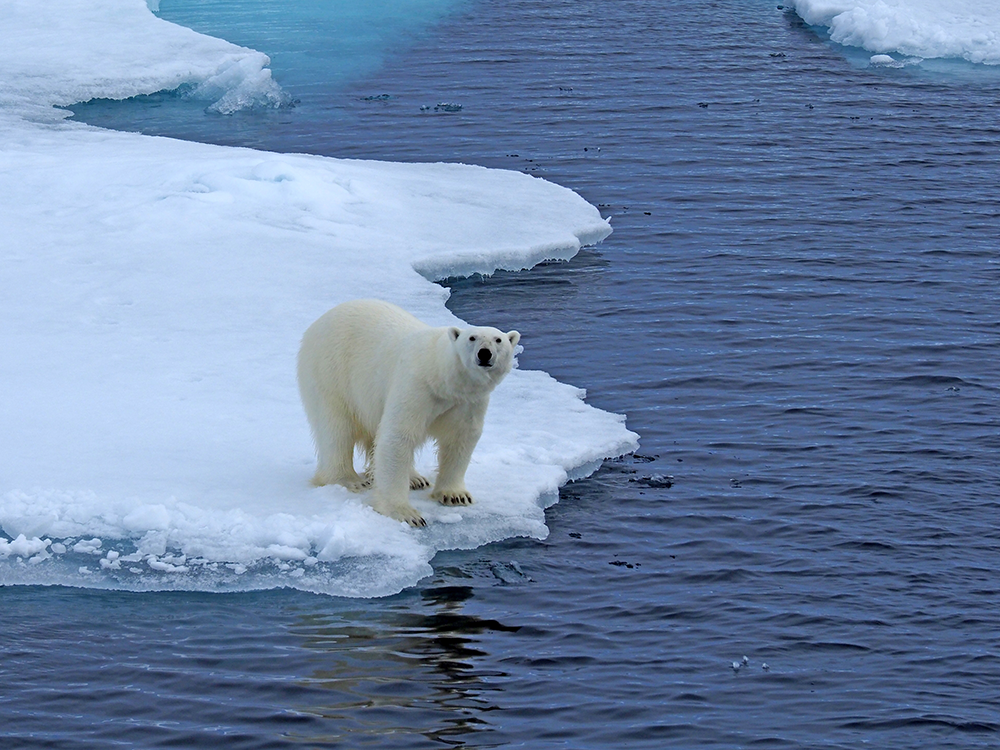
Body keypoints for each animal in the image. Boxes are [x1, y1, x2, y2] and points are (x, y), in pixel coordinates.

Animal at [297, 299, 520, 527]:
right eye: (472, 337)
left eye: (498, 340)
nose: (484, 353)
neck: (442, 378)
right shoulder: (416, 386)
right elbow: (398, 436)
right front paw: (405, 513)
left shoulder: (468, 402)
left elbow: (462, 438)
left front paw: (455, 495)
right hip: (331, 371)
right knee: (337, 428)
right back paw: (349, 480)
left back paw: (415, 479)